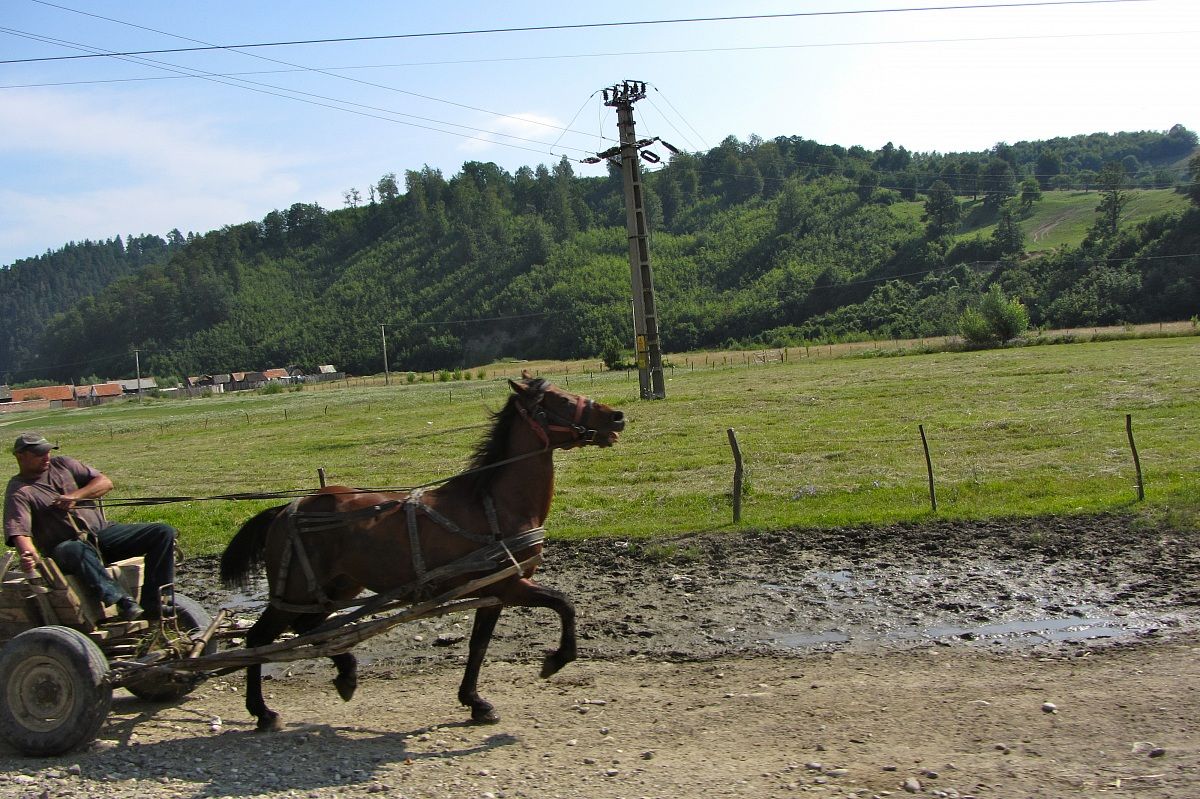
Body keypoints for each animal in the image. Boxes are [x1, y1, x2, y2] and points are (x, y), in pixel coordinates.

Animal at [218, 374, 625, 731]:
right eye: (561, 400)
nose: (618, 416)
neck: (494, 504)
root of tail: (286, 509)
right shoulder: (510, 586)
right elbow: (564, 604)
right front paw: (556, 660)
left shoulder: (492, 592)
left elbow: (478, 646)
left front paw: (475, 702)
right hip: (296, 591)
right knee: (260, 639)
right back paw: (263, 712)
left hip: (338, 586)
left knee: (309, 628)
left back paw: (346, 674)